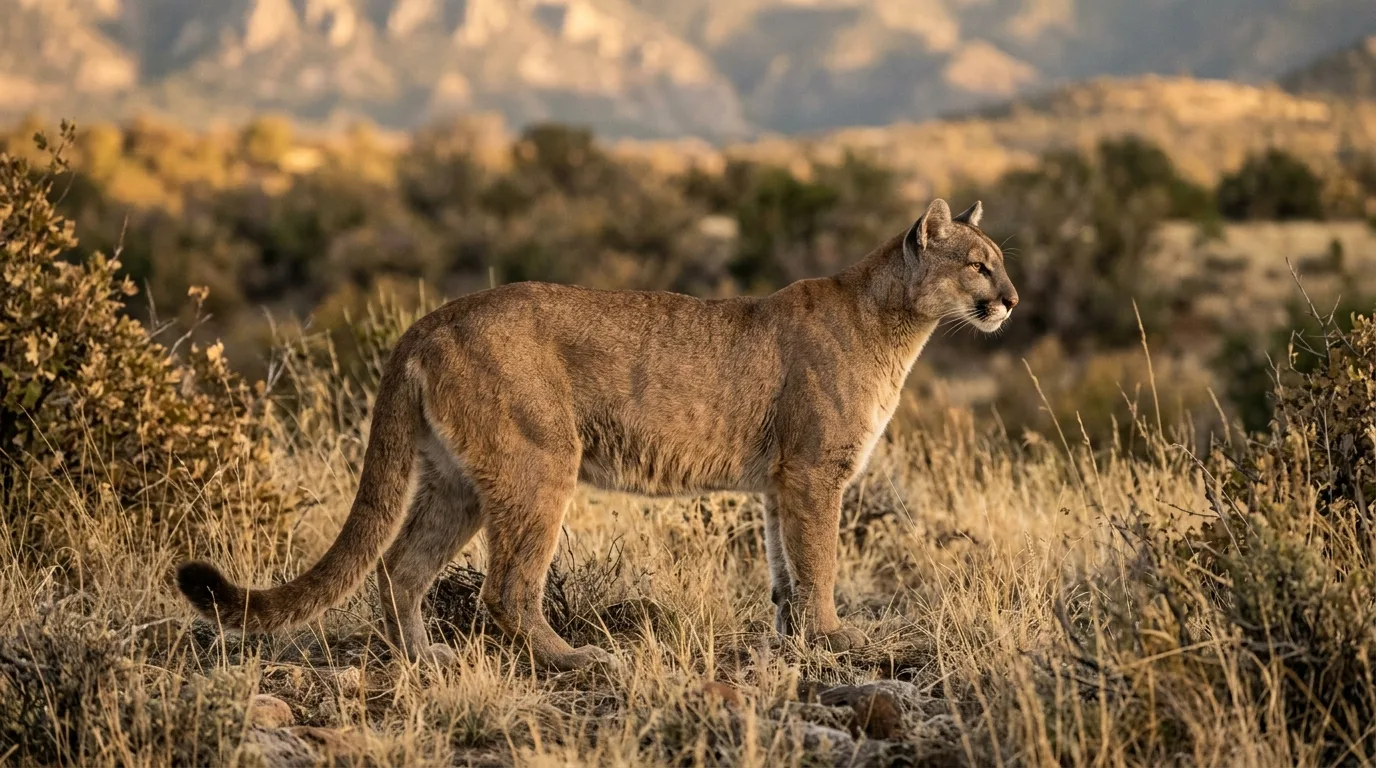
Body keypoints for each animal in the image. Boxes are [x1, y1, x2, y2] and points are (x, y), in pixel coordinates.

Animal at [177, 198, 1019, 671]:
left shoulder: (780, 482)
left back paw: (423, 661)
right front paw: (838, 641)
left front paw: (794, 642)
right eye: (979, 265)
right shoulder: (814, 473)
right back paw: (573, 658)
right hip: (540, 463)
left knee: (399, 566)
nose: (1011, 299)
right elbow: (818, 565)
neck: (898, 321)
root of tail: (433, 316)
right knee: (505, 588)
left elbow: (785, 571)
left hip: (456, 479)